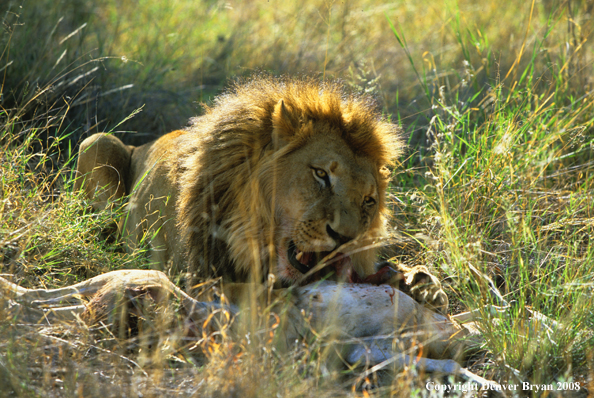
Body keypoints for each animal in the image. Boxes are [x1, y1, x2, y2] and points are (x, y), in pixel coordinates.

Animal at [73, 74, 444, 310]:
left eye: (368, 201)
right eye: (321, 174)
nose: (345, 238)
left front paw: (422, 285)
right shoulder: (194, 274)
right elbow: (244, 291)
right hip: (98, 142)